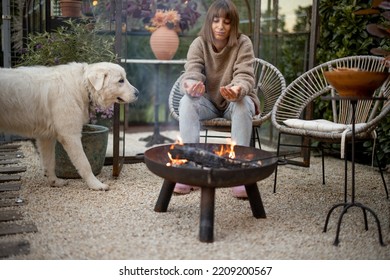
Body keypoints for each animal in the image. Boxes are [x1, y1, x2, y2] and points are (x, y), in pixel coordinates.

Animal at [0, 62, 139, 190]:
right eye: (121, 80)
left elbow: (50, 162)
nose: (138, 93)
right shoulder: (70, 135)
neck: (82, 85)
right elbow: (84, 163)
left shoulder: (46, 138)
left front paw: (55, 182)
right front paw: (96, 184)